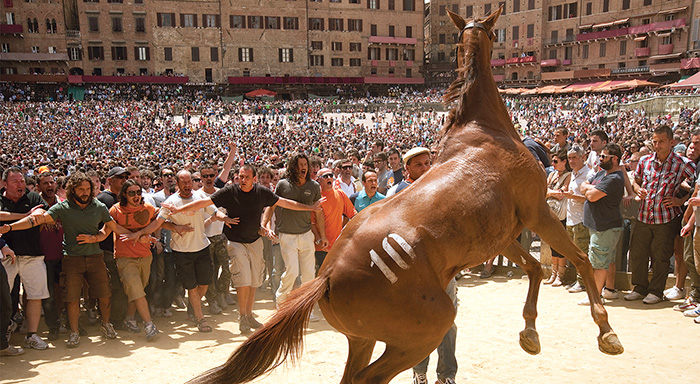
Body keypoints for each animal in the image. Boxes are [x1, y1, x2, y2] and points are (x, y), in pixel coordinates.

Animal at [190, 8, 624, 384]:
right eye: (494, 33)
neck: (483, 129)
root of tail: (325, 276)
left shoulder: (504, 235)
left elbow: (534, 267)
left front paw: (530, 332)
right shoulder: (536, 212)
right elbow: (581, 258)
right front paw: (606, 331)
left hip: (363, 339)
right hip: (421, 333)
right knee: (370, 378)